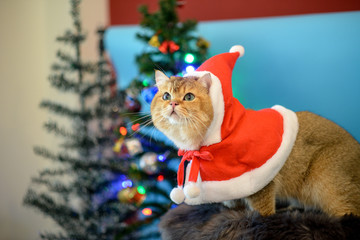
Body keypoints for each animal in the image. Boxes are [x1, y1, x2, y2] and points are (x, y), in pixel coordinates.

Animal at [150, 70, 360, 218]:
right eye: (166, 96)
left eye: (189, 97)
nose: (173, 104)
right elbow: (232, 202)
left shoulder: (261, 181)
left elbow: (263, 209)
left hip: (328, 181)